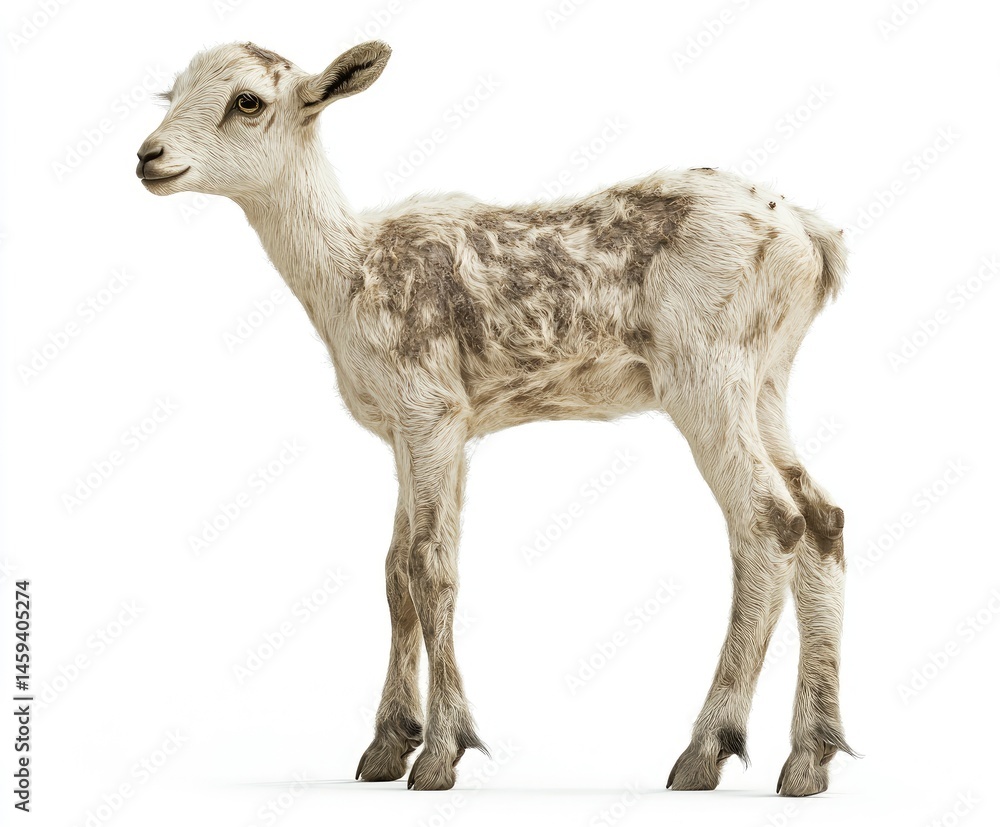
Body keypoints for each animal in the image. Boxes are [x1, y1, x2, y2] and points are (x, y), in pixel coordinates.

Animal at [137, 40, 854, 796]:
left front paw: (440, 753)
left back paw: (705, 750)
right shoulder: (409, 429)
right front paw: (387, 745)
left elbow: (430, 565)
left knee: (767, 520)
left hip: (707, 374)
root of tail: (813, 239)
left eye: (247, 101)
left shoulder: (432, 408)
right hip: (767, 380)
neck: (349, 274)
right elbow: (394, 572)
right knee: (822, 517)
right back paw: (810, 756)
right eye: (170, 93)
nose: (149, 156)